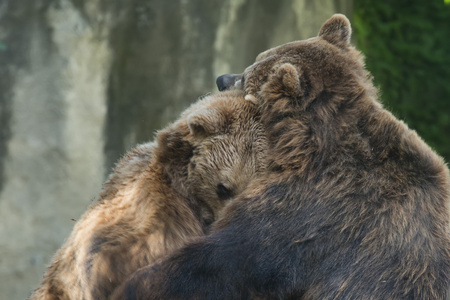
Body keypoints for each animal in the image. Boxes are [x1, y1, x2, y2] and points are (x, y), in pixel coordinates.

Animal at [110, 14, 448, 300]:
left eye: (247, 75)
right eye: (255, 59)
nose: (222, 78)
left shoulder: (313, 208)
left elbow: (226, 259)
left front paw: (134, 285)